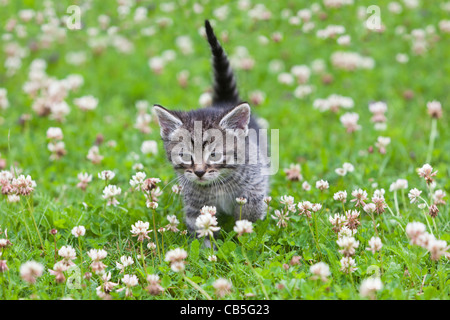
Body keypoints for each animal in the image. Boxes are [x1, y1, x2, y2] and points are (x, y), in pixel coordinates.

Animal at [153, 20, 268, 238]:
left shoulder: (255, 184)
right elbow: (201, 228)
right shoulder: (195, 205)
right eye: (185, 155)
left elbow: (251, 211)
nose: (199, 172)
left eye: (214, 155)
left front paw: (245, 231)